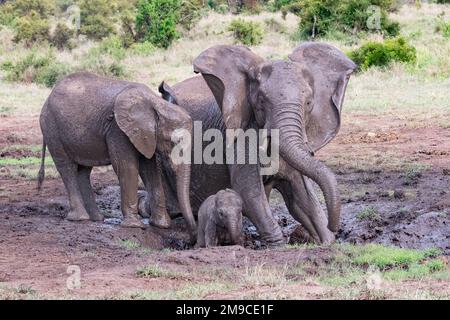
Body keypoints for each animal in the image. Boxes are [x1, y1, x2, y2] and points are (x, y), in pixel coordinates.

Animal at [36, 72, 195, 238]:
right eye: (175, 141)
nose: (193, 236)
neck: (156, 103)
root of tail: (48, 98)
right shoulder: (118, 129)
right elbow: (126, 167)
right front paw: (134, 226)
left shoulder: (145, 135)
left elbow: (150, 170)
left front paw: (162, 225)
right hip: (51, 128)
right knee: (67, 168)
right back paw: (79, 218)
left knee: (83, 171)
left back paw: (96, 218)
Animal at [156, 42, 356, 245]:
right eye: (261, 101)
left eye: (308, 103)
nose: (334, 225)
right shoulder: (241, 133)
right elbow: (248, 190)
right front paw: (278, 245)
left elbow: (300, 195)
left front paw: (327, 240)